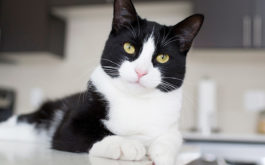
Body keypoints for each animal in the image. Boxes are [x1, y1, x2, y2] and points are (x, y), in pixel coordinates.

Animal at [0, 0, 203, 165]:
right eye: (129, 47)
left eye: (163, 57)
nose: (140, 71)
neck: (135, 101)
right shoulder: (69, 125)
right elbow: (90, 132)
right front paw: (126, 144)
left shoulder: (171, 126)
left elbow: (173, 138)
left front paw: (162, 154)